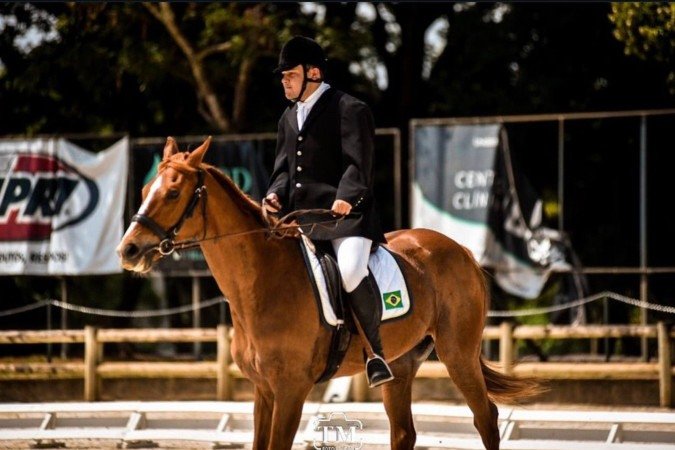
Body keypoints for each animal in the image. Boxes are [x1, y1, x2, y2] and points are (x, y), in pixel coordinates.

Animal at [117, 137, 541, 450]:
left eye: (173, 194)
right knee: (404, 432)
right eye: (144, 188)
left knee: (485, 418)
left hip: (458, 354)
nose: (128, 251)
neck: (260, 283)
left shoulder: (291, 389)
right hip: (400, 366)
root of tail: (461, 250)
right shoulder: (263, 390)